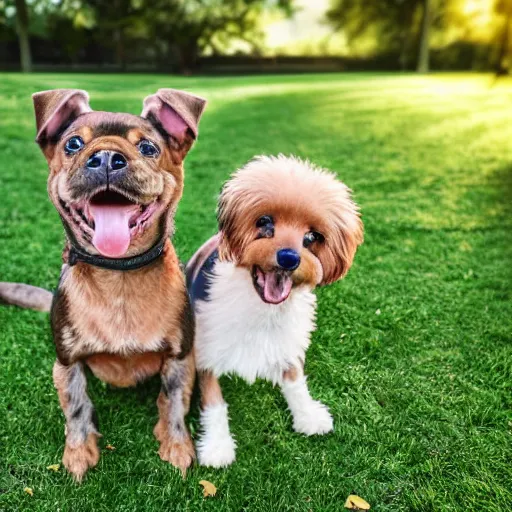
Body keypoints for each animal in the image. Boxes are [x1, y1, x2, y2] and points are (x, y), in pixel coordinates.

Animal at [2, 88, 206, 480]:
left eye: (148, 148)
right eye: (73, 144)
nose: (107, 157)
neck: (119, 275)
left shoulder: (180, 356)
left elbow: (173, 402)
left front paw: (176, 446)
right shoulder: (66, 362)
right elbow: (77, 406)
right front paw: (79, 452)